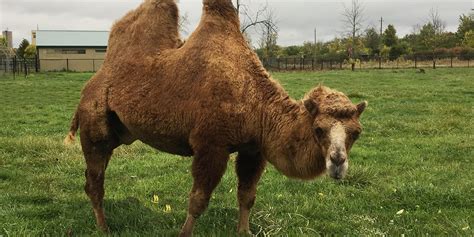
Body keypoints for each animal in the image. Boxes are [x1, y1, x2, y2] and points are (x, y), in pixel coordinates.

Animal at [64, 0, 366, 236]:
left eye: (356, 132)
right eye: (319, 129)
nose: (337, 162)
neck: (257, 104)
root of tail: (90, 85)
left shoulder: (254, 149)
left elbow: (247, 195)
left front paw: (244, 231)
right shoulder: (211, 145)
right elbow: (198, 199)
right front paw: (184, 234)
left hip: (118, 133)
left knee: (93, 176)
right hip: (94, 122)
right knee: (95, 181)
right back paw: (103, 227)